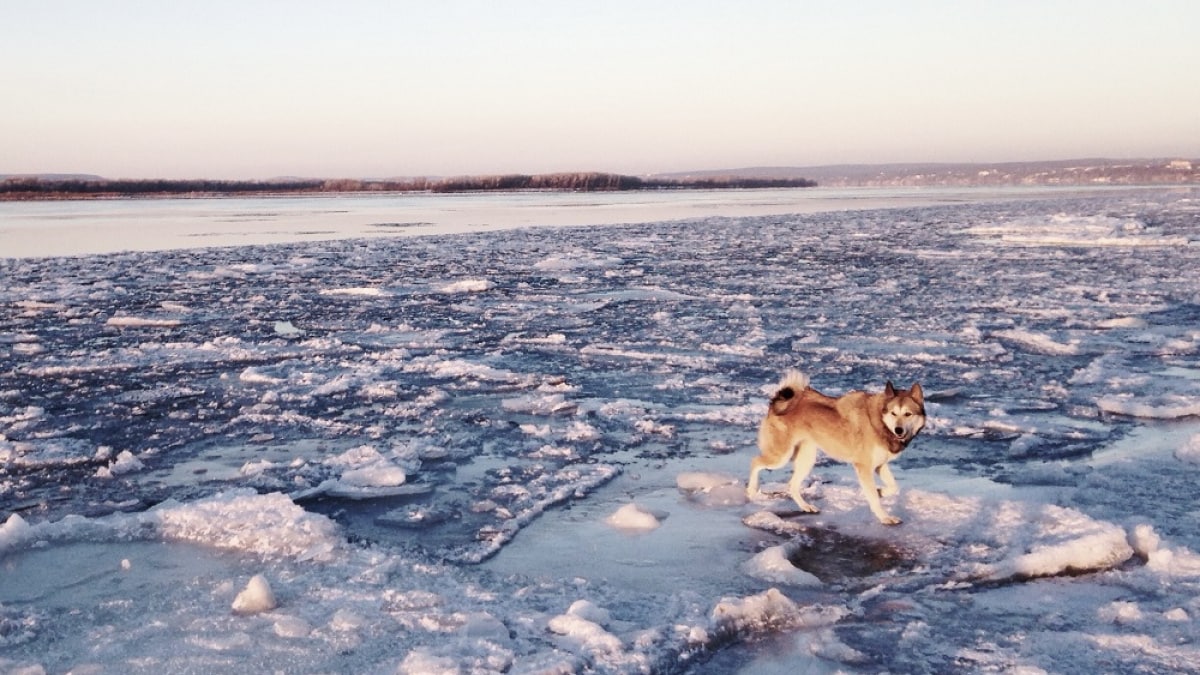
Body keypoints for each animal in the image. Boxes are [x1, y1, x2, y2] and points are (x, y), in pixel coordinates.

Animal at [739, 369, 926, 523]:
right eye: (894, 413)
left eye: (908, 414)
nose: (899, 430)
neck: (879, 421)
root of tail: (781, 402)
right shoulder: (864, 467)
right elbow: (873, 496)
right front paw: (884, 517)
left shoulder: (880, 464)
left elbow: (894, 487)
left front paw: (882, 492)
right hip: (781, 456)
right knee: (755, 462)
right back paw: (751, 490)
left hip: (807, 459)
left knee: (792, 485)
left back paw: (806, 507)